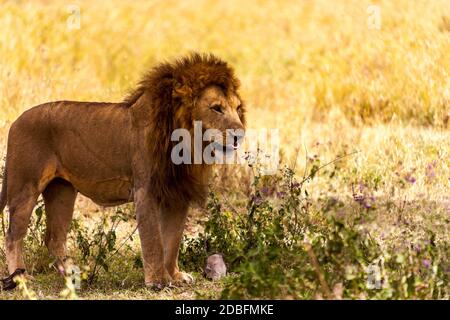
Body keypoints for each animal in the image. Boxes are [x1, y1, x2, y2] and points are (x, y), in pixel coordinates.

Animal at [0, 53, 246, 290]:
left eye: (237, 109)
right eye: (216, 108)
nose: (240, 134)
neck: (186, 141)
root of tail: (16, 121)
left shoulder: (177, 195)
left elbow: (173, 240)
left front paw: (175, 276)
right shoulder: (145, 191)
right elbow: (154, 241)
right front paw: (157, 281)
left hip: (62, 191)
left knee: (53, 238)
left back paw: (72, 275)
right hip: (25, 186)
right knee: (13, 236)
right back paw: (20, 278)